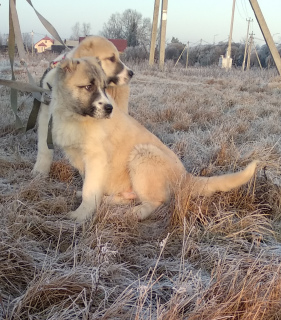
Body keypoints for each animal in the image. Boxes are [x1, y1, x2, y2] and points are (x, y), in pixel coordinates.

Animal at [49, 57, 258, 222]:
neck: (74, 116)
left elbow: (89, 189)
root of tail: (184, 176)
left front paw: (80, 215)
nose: (109, 109)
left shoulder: (95, 158)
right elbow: (89, 185)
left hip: (142, 155)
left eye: (104, 88)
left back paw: (137, 212)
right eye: (88, 87)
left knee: (156, 201)